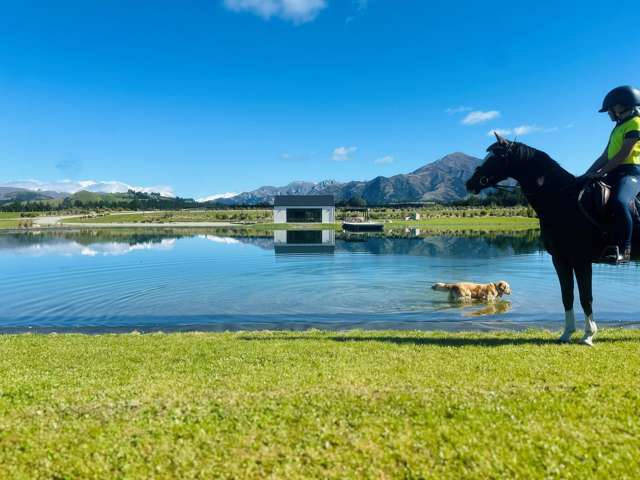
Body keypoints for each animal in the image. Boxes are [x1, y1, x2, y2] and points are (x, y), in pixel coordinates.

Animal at [464, 133, 640, 346]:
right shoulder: (560, 259)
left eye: (495, 158)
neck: (562, 200)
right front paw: (567, 333)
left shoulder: (581, 260)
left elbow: (586, 297)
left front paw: (588, 335)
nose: (470, 183)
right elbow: (567, 296)